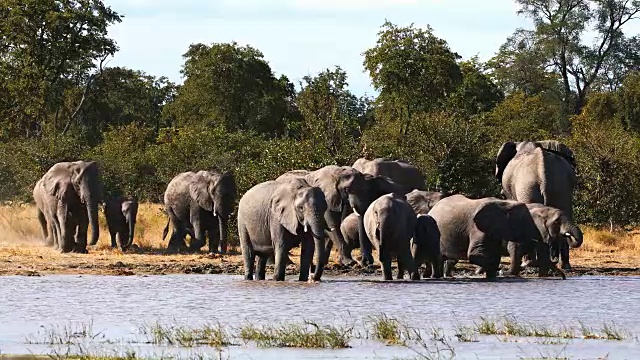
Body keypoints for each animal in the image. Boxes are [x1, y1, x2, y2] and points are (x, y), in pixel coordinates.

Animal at [498, 139, 576, 268]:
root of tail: (542, 171)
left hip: (526, 187)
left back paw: (528, 263)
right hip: (560, 187)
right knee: (565, 215)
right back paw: (563, 266)